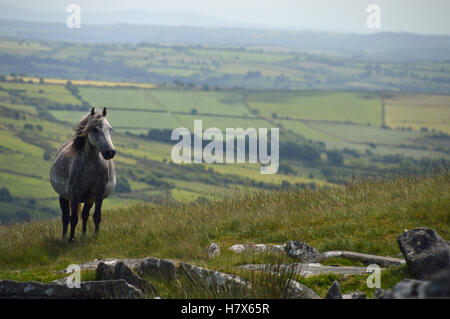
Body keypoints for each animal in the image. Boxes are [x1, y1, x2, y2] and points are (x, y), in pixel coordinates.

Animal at [50, 107, 117, 242]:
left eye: (109, 129)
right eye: (95, 129)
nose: (110, 152)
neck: (90, 164)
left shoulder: (98, 195)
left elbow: (96, 216)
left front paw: (96, 236)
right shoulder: (75, 196)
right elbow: (73, 219)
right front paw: (71, 239)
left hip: (89, 199)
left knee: (85, 215)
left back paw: (83, 235)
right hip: (63, 197)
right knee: (65, 217)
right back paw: (64, 237)